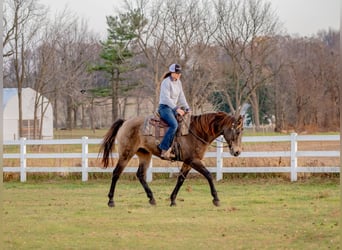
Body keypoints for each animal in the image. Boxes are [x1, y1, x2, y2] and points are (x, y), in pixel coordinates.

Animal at [99, 111, 243, 207]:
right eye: (237, 131)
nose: (237, 152)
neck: (196, 132)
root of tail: (125, 122)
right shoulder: (193, 160)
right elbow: (208, 175)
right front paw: (216, 199)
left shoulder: (188, 162)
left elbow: (180, 179)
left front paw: (173, 200)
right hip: (126, 154)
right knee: (116, 173)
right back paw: (111, 201)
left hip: (144, 154)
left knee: (140, 175)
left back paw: (152, 199)